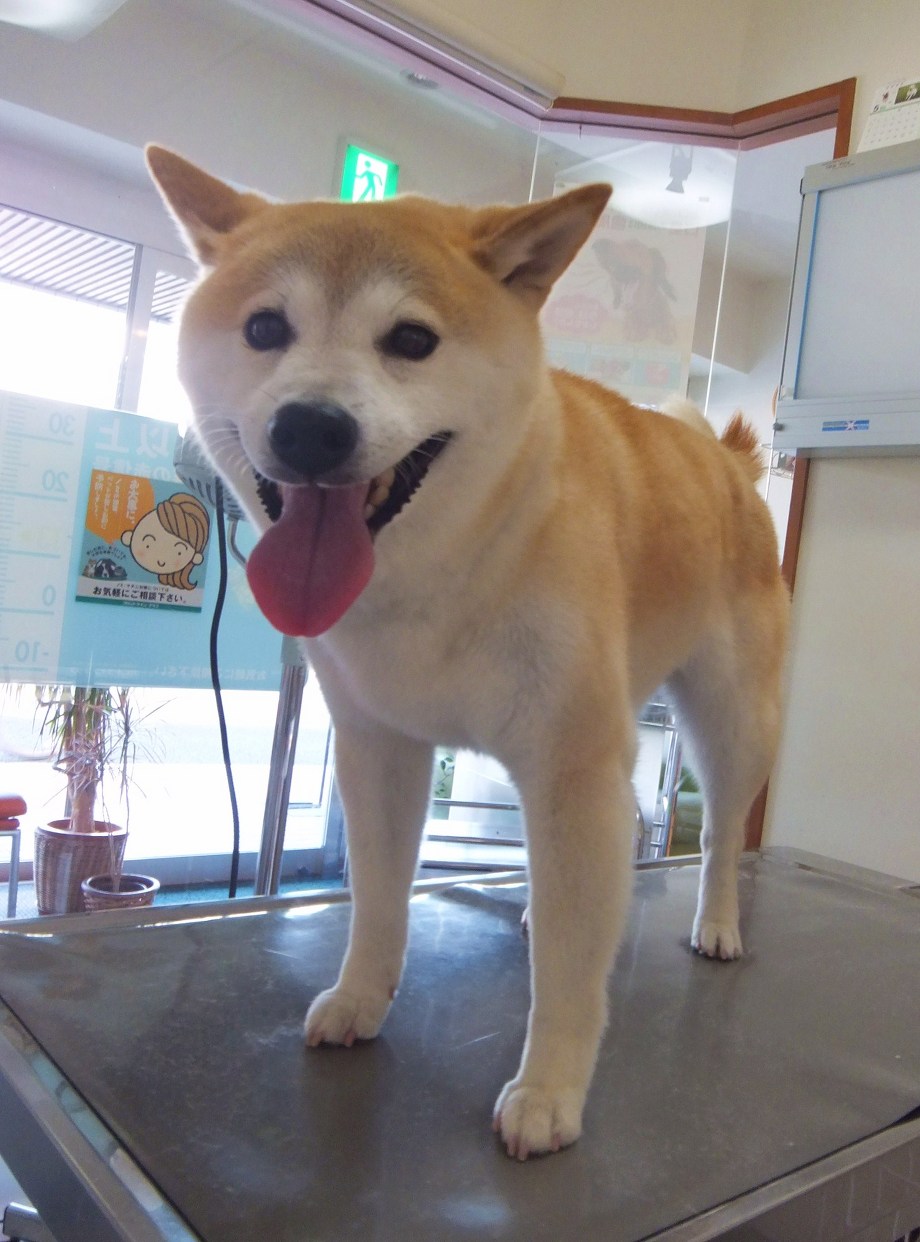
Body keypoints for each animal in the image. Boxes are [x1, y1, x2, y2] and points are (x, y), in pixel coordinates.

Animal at [145, 147, 789, 1162]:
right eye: (264, 328)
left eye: (411, 340)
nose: (310, 428)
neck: (447, 567)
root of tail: (723, 460)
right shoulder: (378, 749)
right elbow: (377, 900)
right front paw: (362, 998)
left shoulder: (570, 764)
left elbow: (568, 977)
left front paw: (551, 1090)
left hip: (729, 723)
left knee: (723, 834)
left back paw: (717, 923)